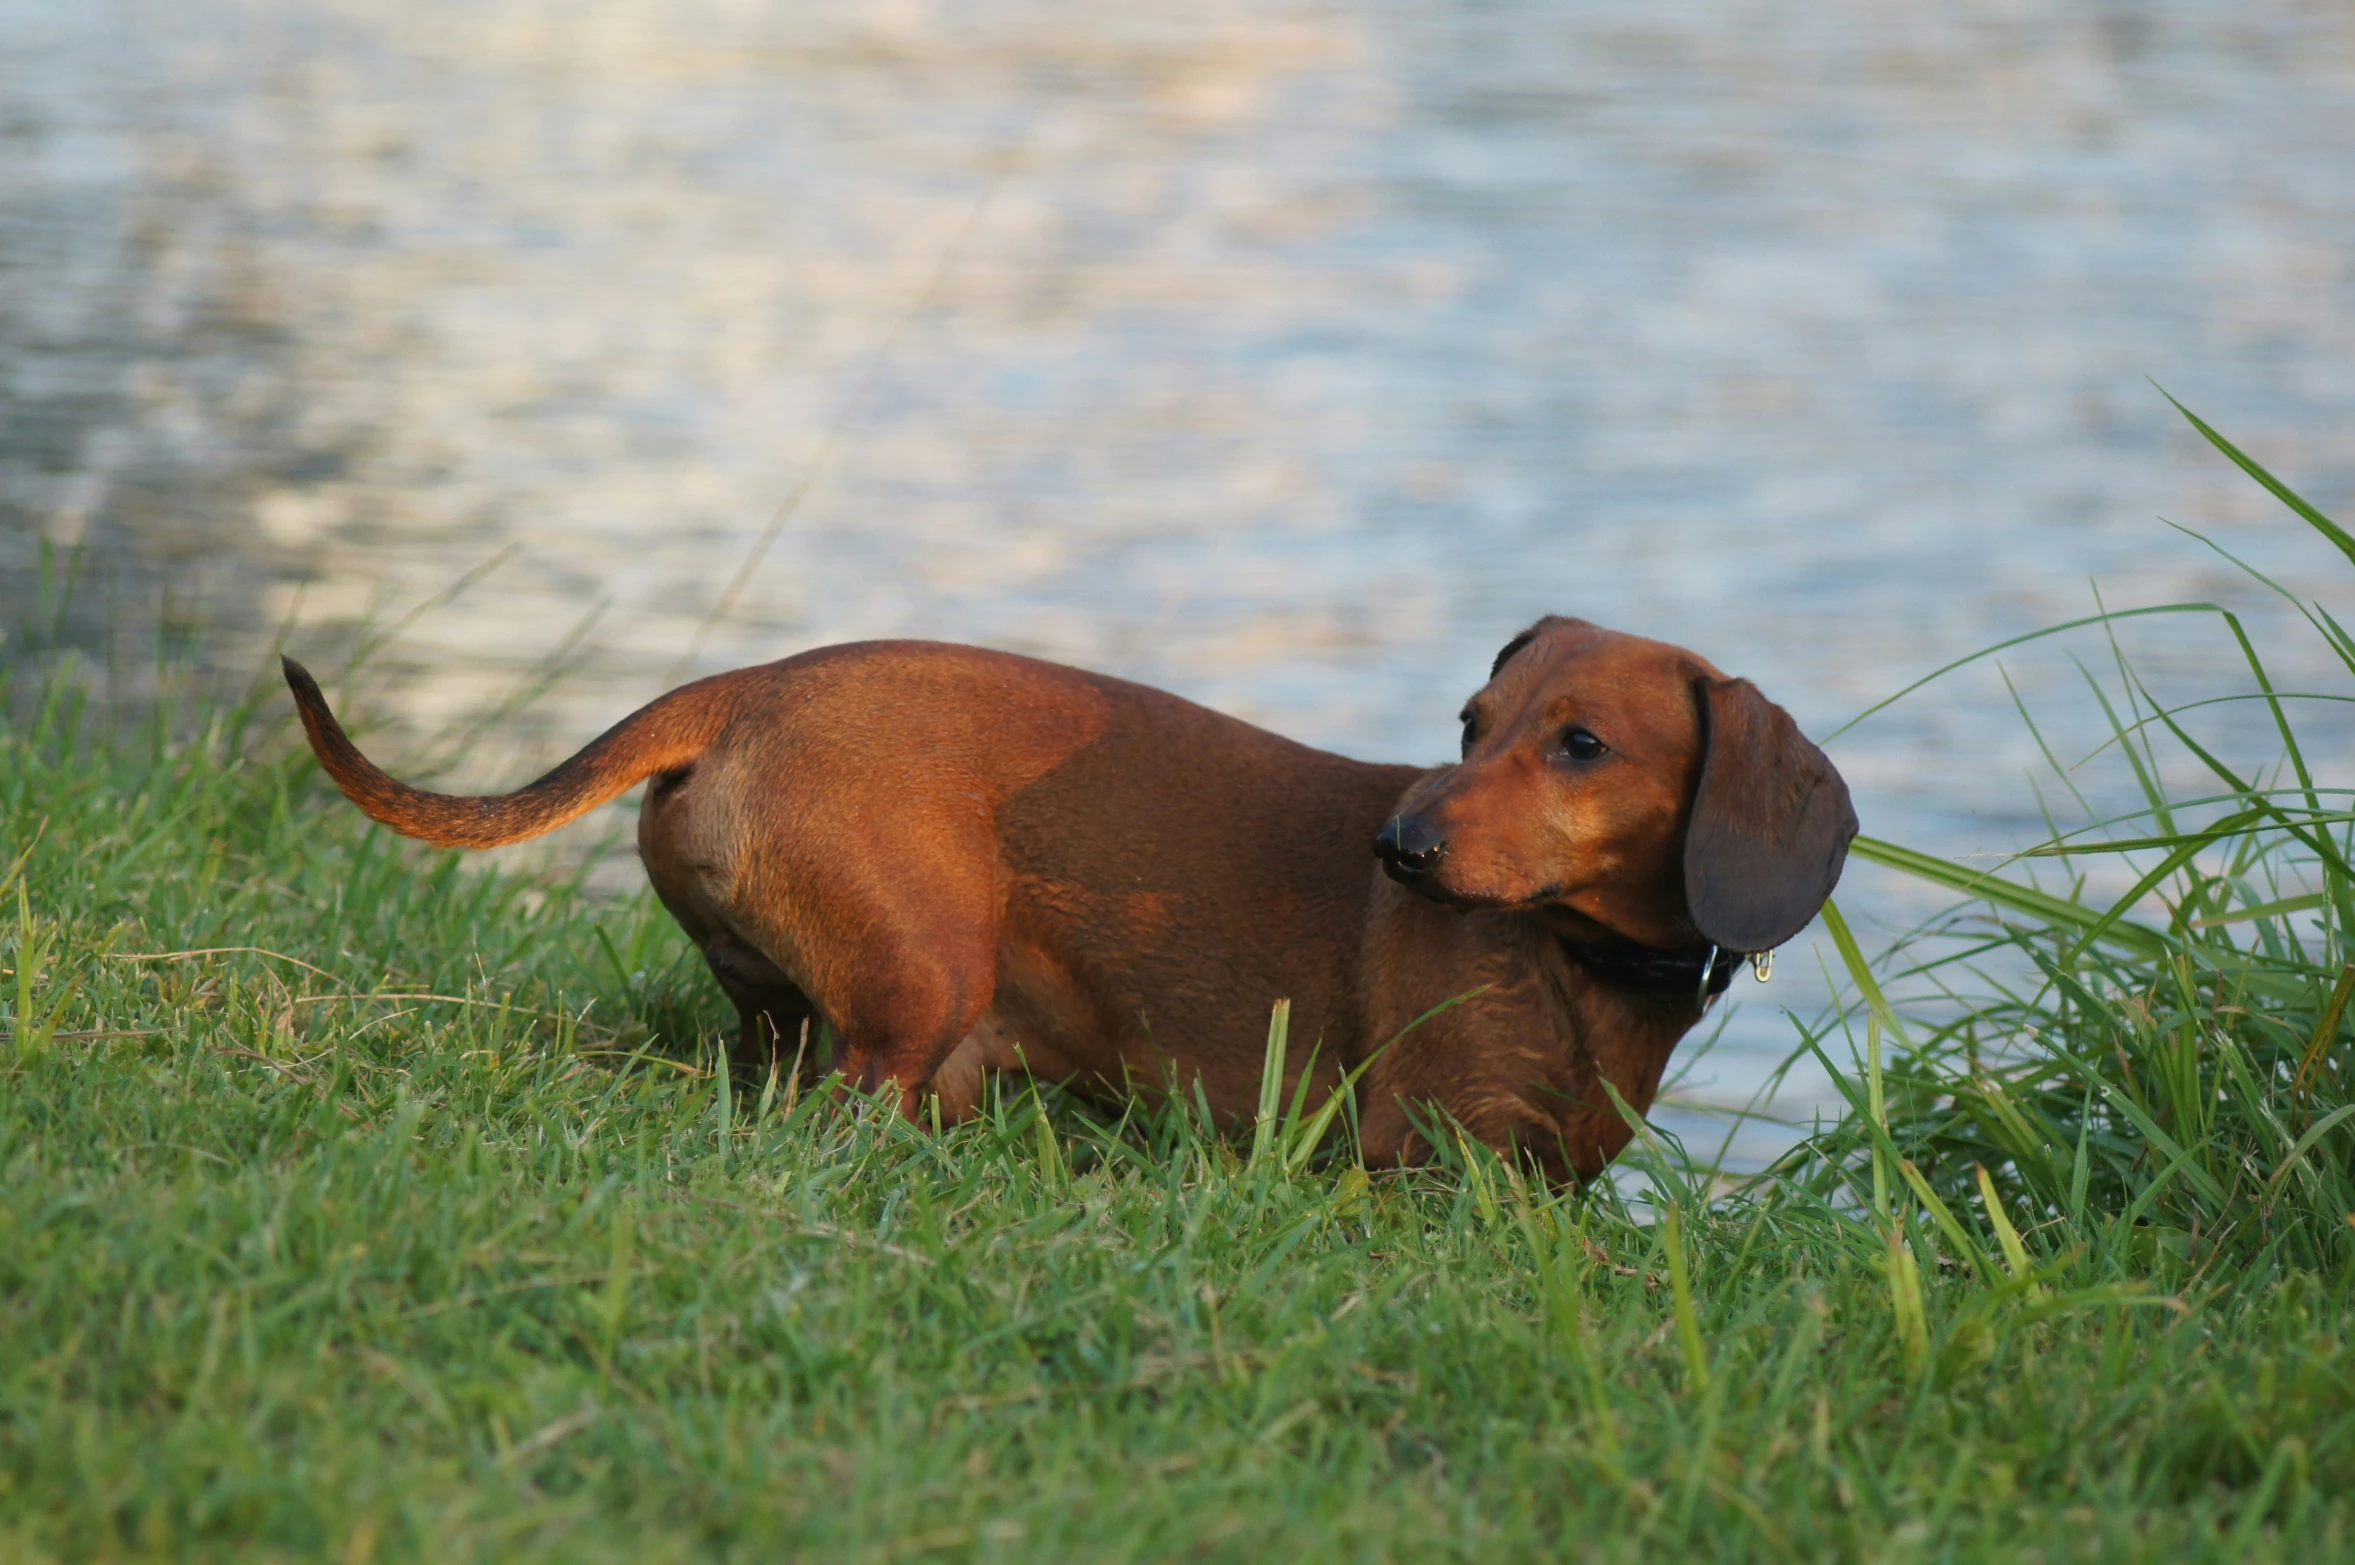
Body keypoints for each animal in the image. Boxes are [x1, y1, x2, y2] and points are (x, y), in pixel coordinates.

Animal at [280, 616, 1855, 1176]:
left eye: (1579, 744)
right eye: (1471, 723)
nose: (1398, 845)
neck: (1575, 966)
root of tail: (743, 686)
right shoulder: (1415, 1165)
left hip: (807, 1018)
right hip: (922, 992)